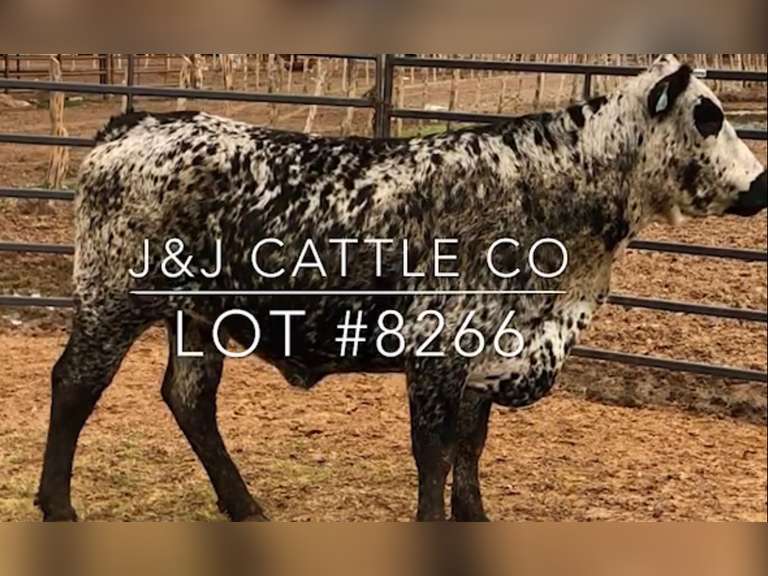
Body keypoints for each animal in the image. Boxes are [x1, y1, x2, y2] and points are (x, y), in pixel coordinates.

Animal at [36, 55, 766, 521]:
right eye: (708, 115)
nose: (761, 184)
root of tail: (137, 124)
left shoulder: (487, 356)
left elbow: (470, 451)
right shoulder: (436, 353)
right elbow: (435, 457)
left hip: (197, 316)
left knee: (189, 399)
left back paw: (244, 507)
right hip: (113, 298)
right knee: (74, 385)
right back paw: (58, 507)